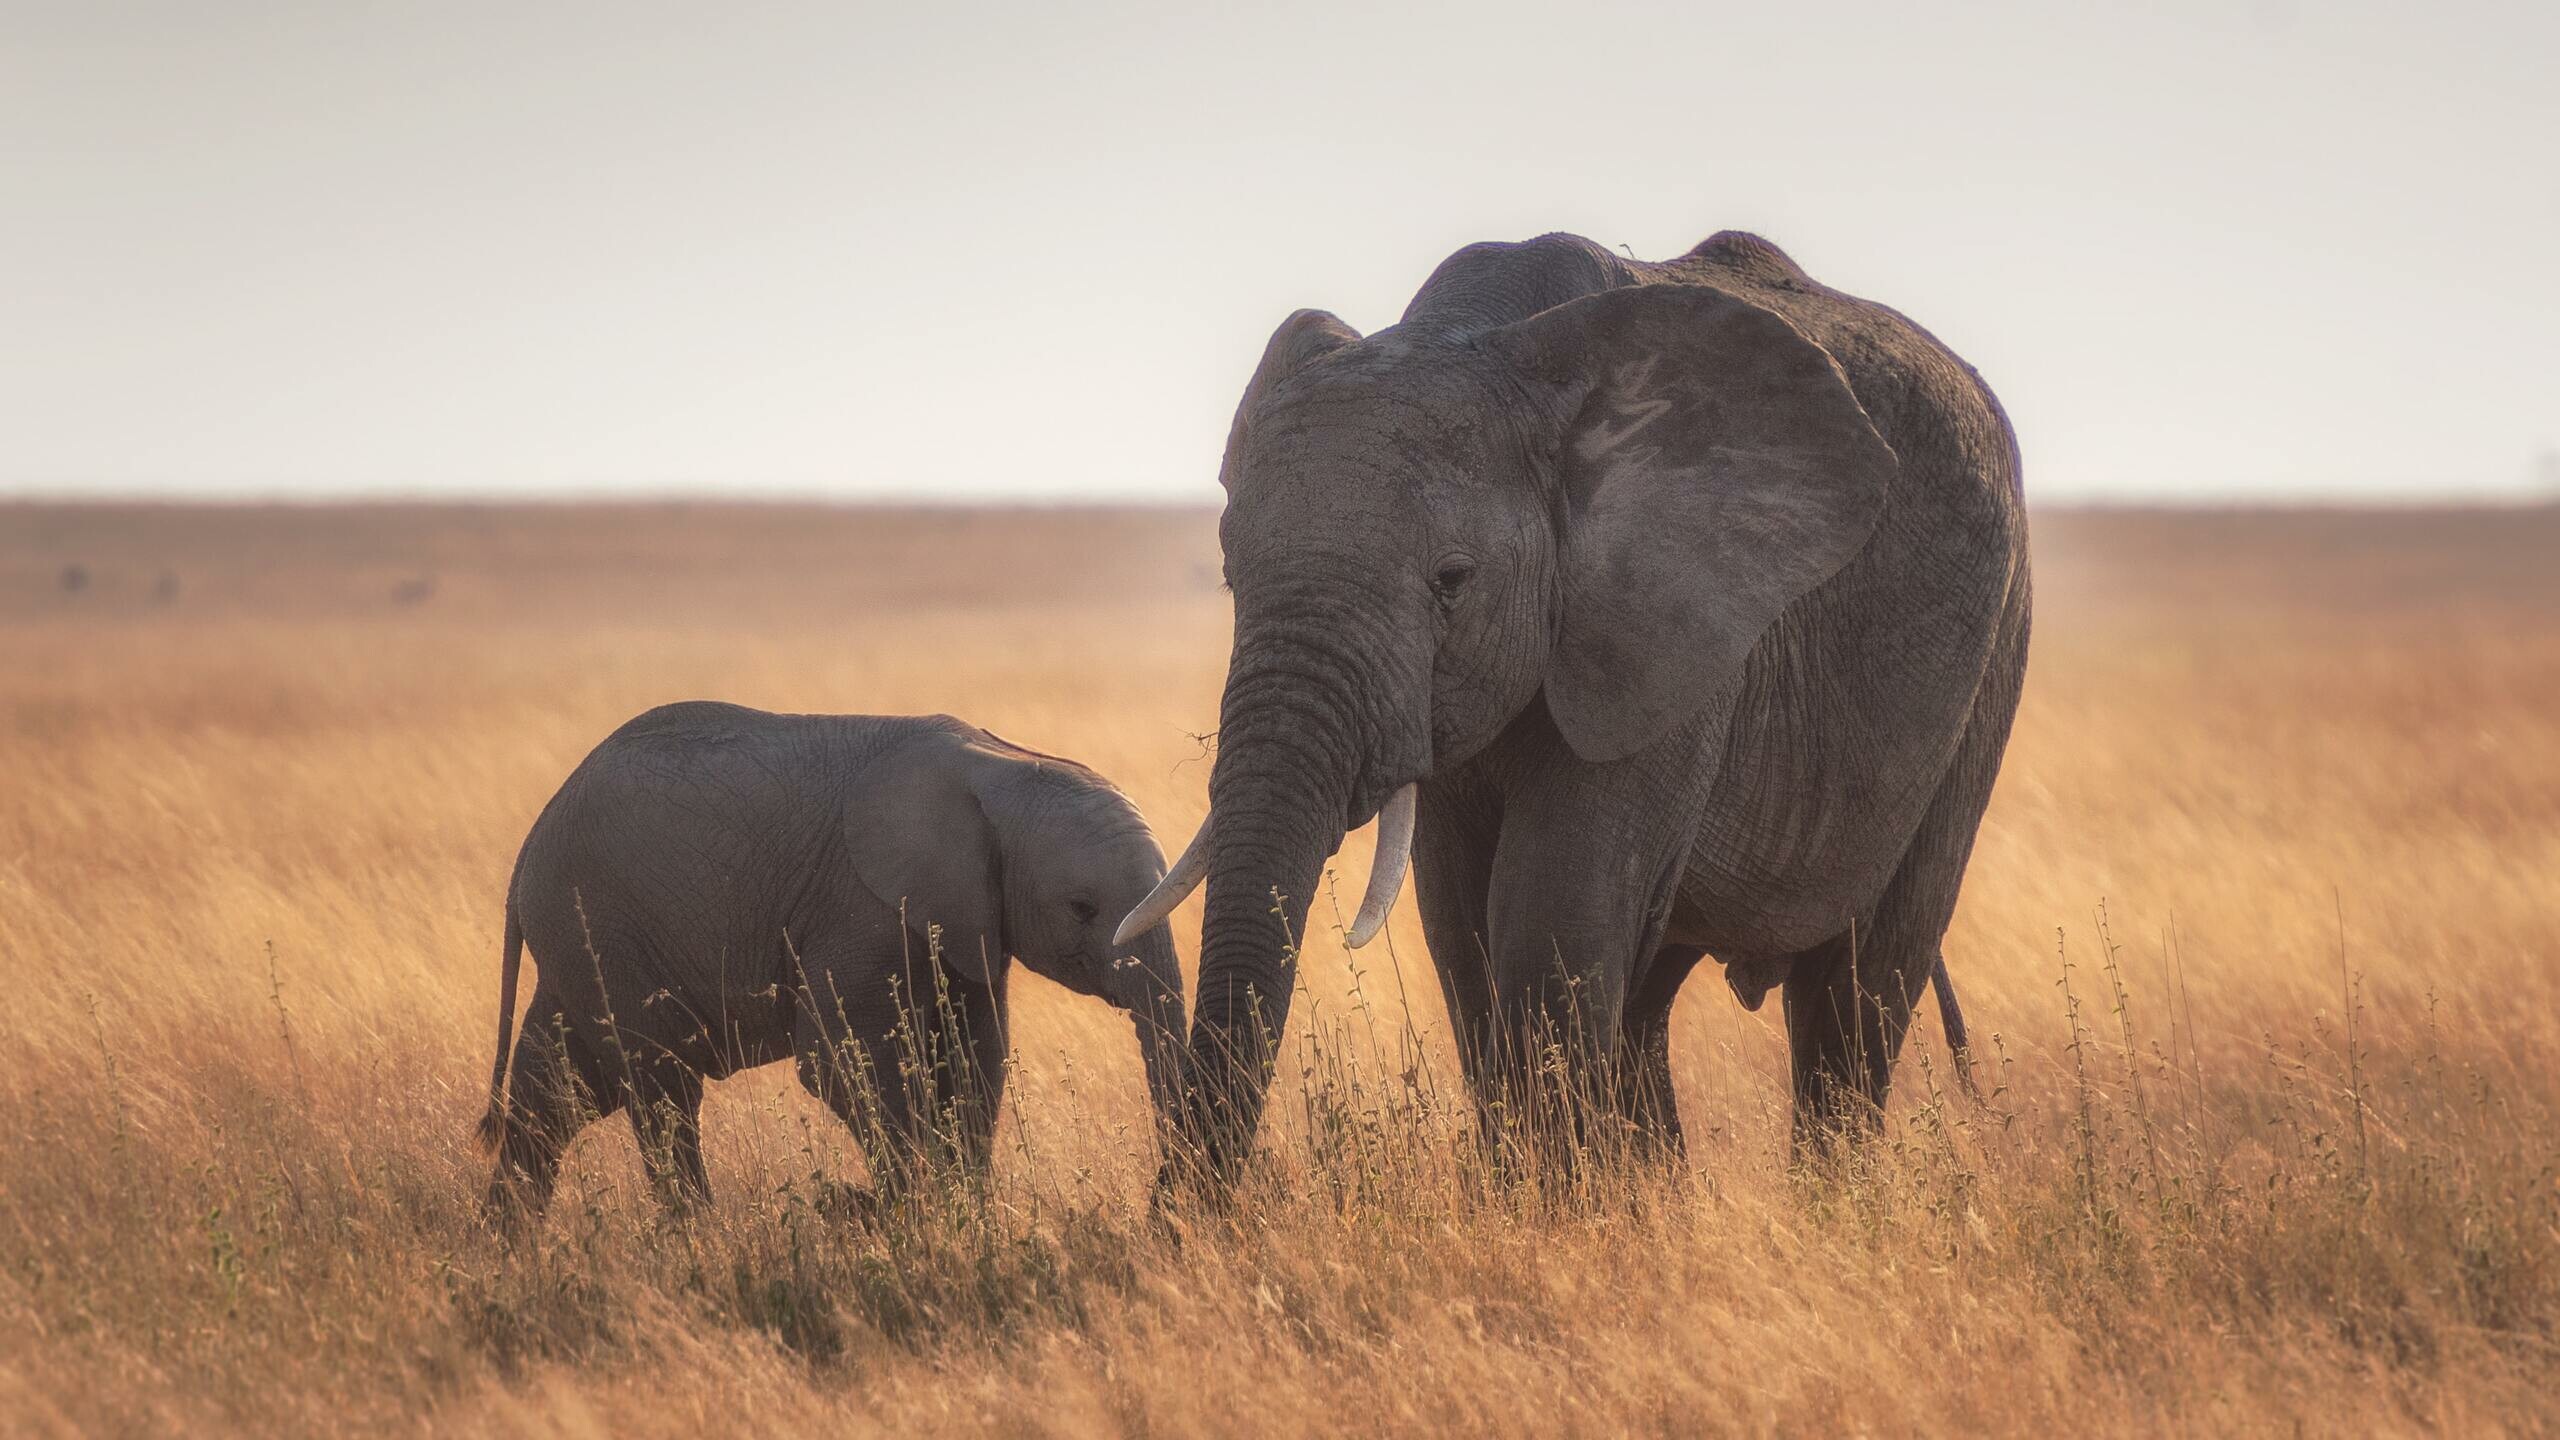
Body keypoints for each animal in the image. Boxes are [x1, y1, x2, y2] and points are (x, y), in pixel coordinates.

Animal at [473, 702, 1187, 1214]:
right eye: (1082, 907)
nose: (1163, 1205)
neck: (1001, 765)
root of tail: (526, 850)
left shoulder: (966, 920)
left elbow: (974, 1057)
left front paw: (963, 1215)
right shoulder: (858, 905)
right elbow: (841, 1061)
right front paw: (914, 1216)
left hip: (581, 942)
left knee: (557, 1091)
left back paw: (511, 1249)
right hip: (598, 926)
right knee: (661, 1086)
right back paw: (699, 1239)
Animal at [1131, 229, 2027, 1173]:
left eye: (1453, 581)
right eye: (1230, 575)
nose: (1184, 1209)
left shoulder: (1673, 628)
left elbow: (1547, 921)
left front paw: (1551, 1202)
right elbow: (1463, 932)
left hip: (1991, 657)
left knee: (1858, 989)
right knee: (1649, 1001)